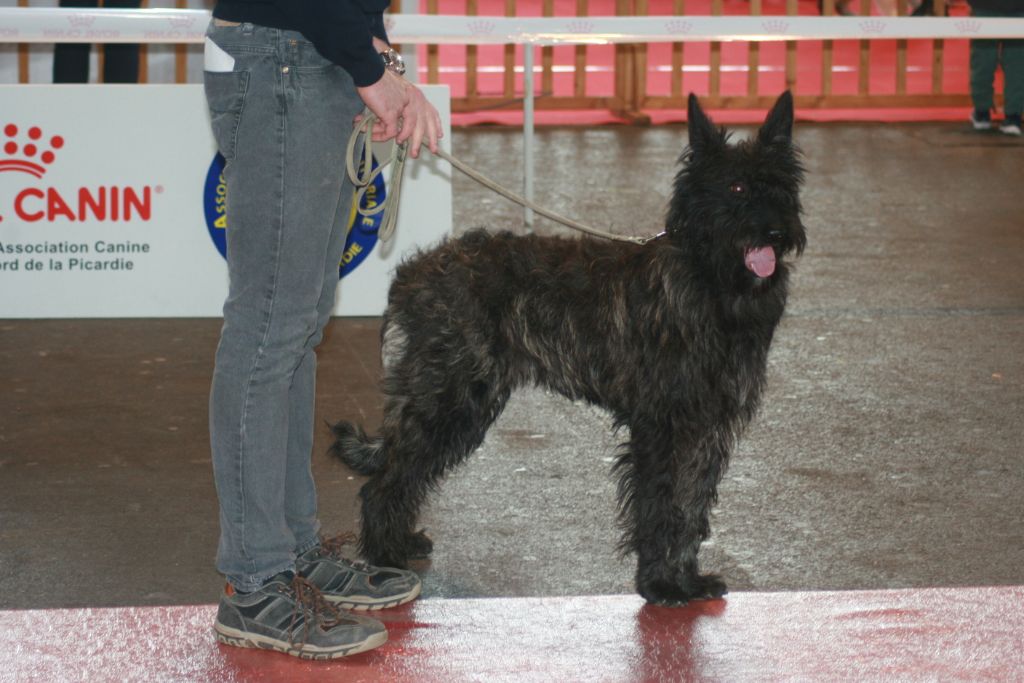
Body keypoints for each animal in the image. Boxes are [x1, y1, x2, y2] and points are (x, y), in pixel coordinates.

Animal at [331, 89, 802, 602]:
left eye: (780, 187)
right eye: (735, 188)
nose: (775, 233)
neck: (708, 279)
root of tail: (412, 273)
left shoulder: (707, 428)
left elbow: (691, 504)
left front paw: (686, 579)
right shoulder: (662, 426)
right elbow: (661, 505)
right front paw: (660, 583)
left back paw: (400, 541)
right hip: (451, 398)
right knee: (388, 477)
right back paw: (385, 553)